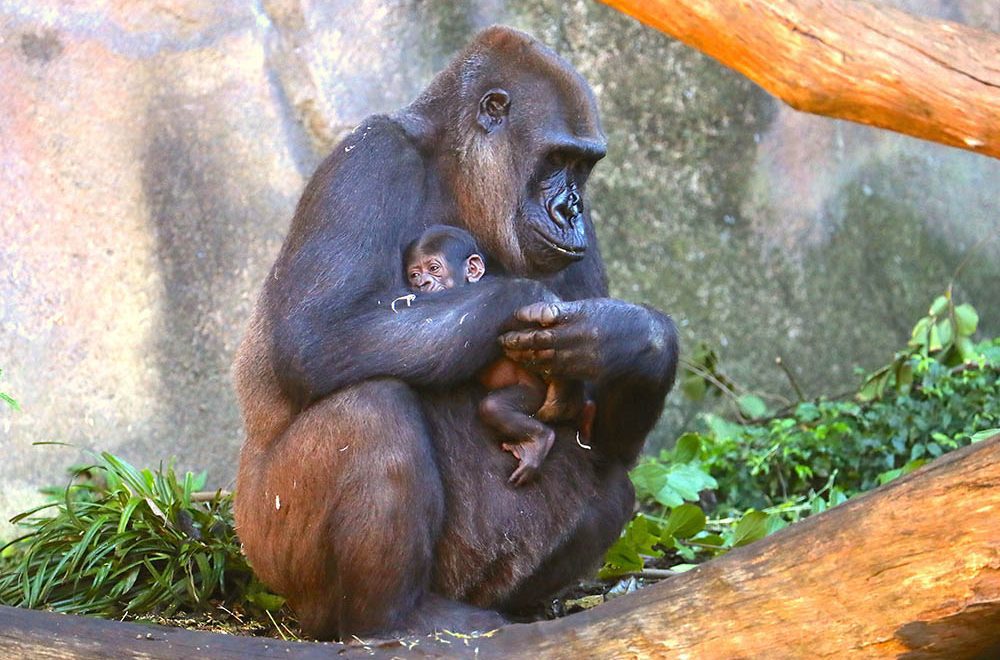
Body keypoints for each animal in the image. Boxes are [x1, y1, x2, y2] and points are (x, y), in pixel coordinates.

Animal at [404, 227, 592, 484]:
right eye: (414, 275)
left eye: (434, 268)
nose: (422, 283)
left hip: (531, 392)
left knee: (495, 407)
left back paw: (541, 439)